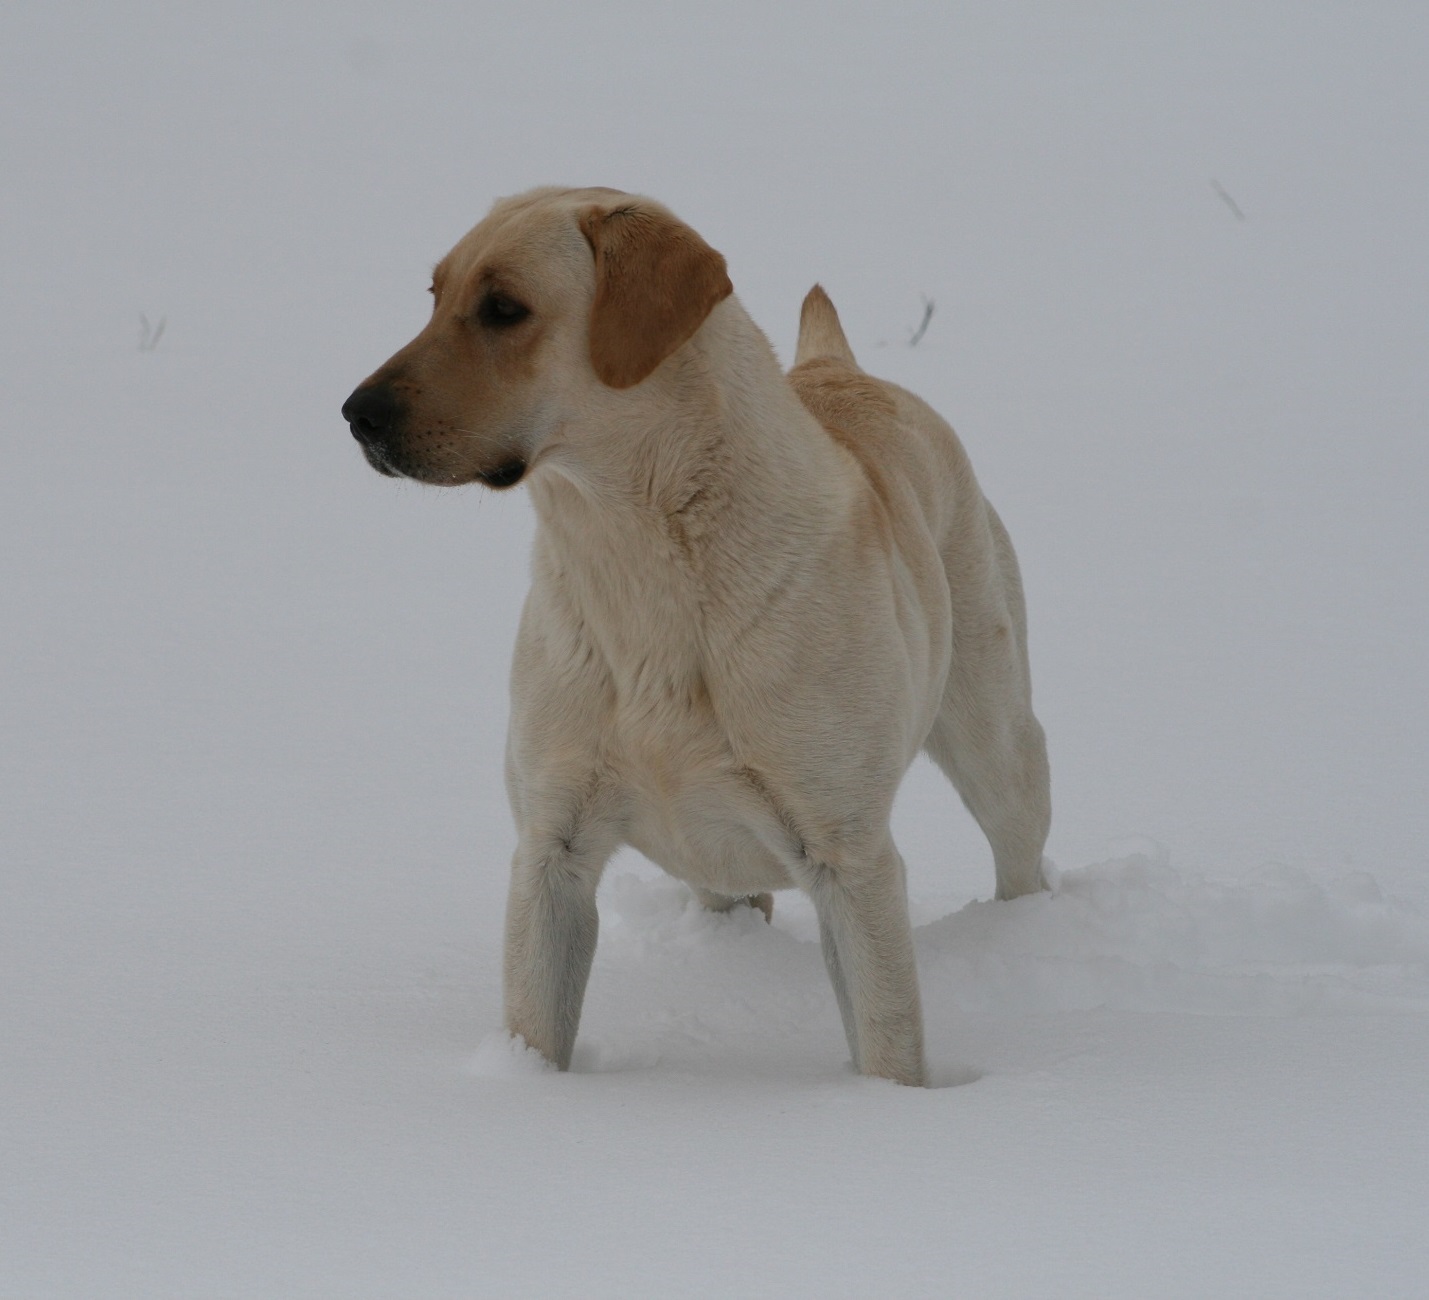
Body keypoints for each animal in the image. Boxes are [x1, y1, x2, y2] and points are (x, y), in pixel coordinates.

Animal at [338, 180, 1046, 1080]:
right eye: (433, 295)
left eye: (503, 308)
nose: (355, 414)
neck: (636, 567)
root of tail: (839, 367)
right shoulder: (550, 850)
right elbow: (536, 1023)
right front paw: (529, 1089)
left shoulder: (849, 858)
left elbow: (886, 1036)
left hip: (995, 740)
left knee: (1018, 840)